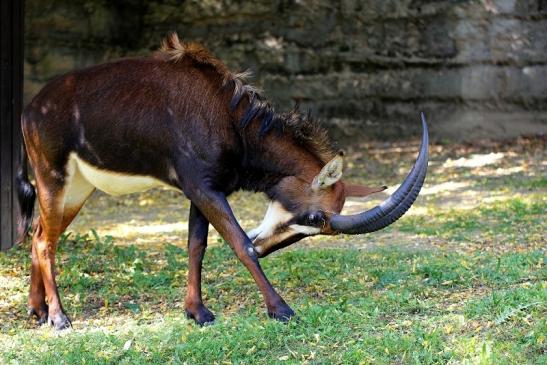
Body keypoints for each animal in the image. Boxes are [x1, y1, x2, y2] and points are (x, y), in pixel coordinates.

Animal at [16, 33, 428, 330]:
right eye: (314, 218)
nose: (266, 247)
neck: (230, 117)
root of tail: (31, 109)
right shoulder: (203, 188)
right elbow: (239, 244)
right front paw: (281, 310)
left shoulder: (203, 192)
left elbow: (196, 246)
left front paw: (197, 312)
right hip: (53, 180)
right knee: (45, 242)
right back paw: (59, 318)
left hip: (78, 190)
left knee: (39, 234)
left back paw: (38, 311)